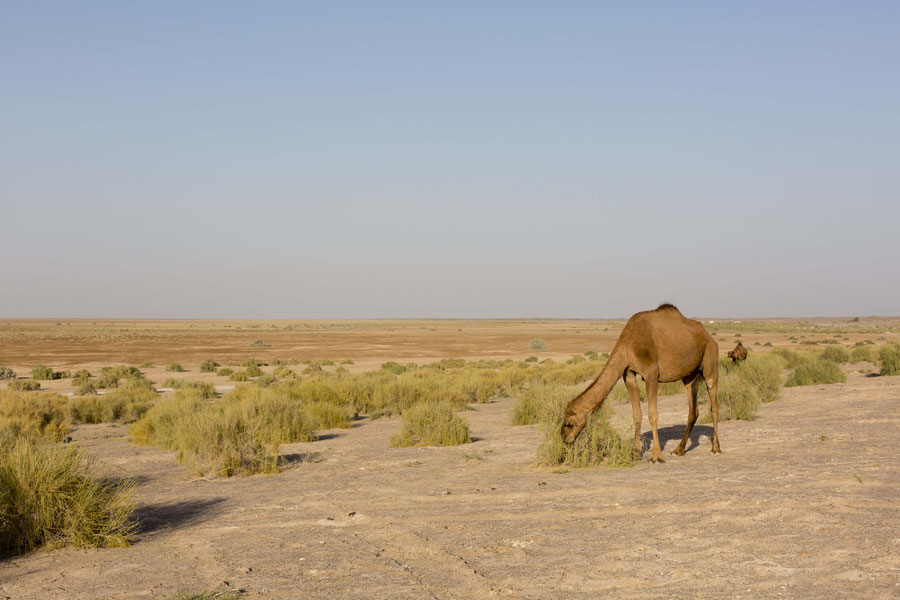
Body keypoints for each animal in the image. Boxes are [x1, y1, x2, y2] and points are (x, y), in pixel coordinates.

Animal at [560, 304, 720, 464]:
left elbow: (653, 414)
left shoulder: (651, 374)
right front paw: (636, 453)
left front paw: (656, 456)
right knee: (693, 410)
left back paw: (715, 449)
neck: (628, 345)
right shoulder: (628, 374)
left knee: (713, 405)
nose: (564, 437)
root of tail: (709, 337)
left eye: (569, 422)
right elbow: (637, 414)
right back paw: (679, 450)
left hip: (710, 361)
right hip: (689, 376)